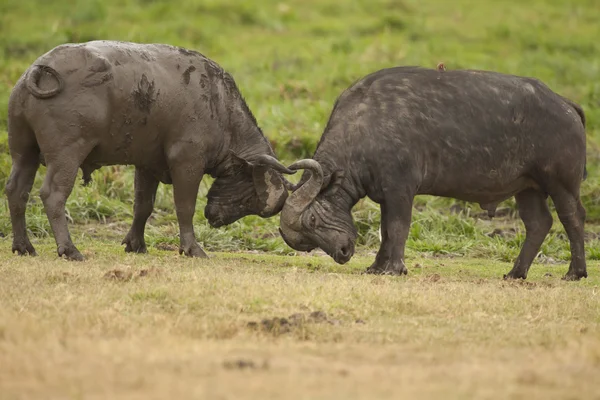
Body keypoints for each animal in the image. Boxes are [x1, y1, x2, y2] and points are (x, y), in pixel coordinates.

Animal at [278, 65, 588, 280]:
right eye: (306, 241)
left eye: (313, 220)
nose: (342, 254)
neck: (364, 127)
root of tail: (565, 104)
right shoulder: (386, 195)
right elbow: (386, 230)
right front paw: (377, 266)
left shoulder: (401, 189)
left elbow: (397, 227)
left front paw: (395, 268)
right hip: (528, 188)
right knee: (539, 223)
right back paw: (516, 272)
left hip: (561, 184)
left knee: (572, 218)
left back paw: (575, 272)